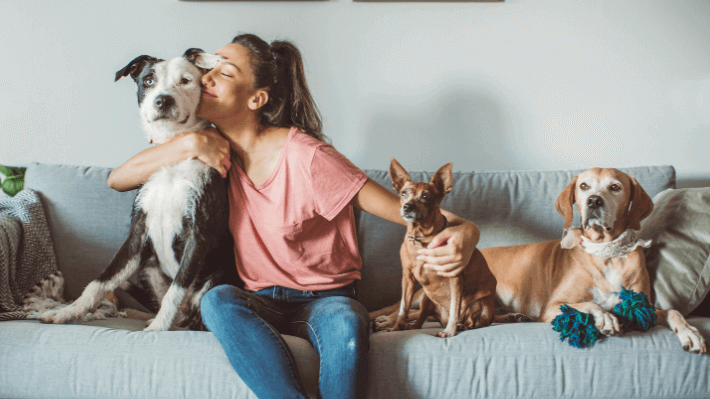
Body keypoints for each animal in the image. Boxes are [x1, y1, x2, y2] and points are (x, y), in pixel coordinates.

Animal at [41, 49, 242, 332]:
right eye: (148, 80)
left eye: (186, 80)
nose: (163, 100)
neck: (172, 153)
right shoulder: (137, 232)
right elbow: (101, 281)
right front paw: (68, 312)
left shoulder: (198, 234)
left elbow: (176, 289)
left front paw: (158, 329)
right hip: (149, 268)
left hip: (214, 280)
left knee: (194, 318)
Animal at [382, 159, 498, 338]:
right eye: (403, 193)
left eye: (426, 196)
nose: (407, 206)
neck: (421, 238)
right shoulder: (407, 278)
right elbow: (403, 308)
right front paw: (396, 328)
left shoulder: (455, 278)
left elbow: (455, 307)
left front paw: (450, 331)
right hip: (426, 298)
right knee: (420, 319)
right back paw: (409, 326)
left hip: (480, 303)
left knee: (473, 322)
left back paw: (461, 326)